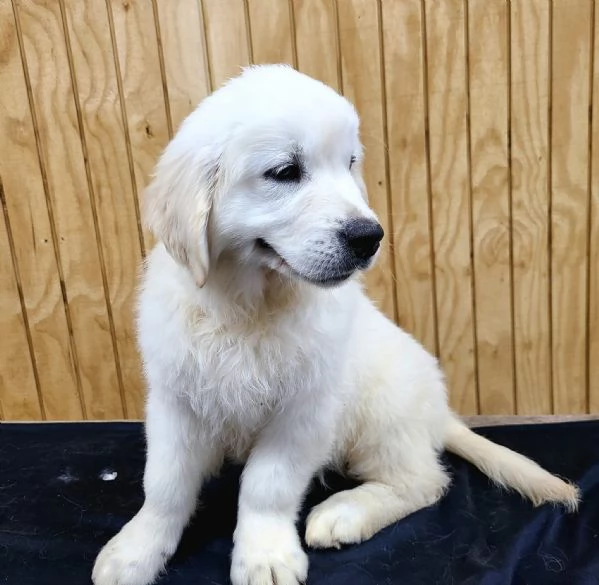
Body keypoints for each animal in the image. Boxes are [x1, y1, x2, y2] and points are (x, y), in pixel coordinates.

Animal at [95, 64, 580, 584]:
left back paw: (346, 512)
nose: (370, 236)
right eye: (285, 172)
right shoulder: (176, 400)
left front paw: (264, 554)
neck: (249, 307)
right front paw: (137, 549)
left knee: (425, 481)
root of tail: (438, 414)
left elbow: (266, 485)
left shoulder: (305, 410)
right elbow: (164, 485)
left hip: (383, 411)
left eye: (349, 163)